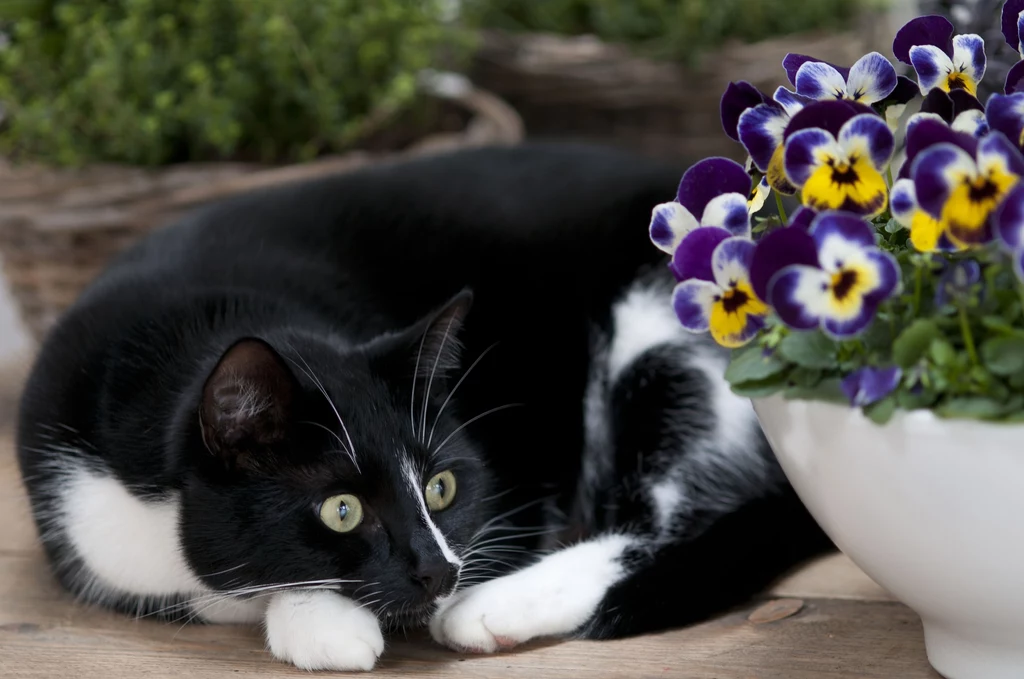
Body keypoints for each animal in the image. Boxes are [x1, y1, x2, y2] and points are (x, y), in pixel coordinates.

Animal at [16, 143, 831, 667]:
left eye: (442, 488)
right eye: (341, 508)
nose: (439, 572)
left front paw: (324, 624)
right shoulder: (90, 534)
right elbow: (220, 589)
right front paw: (323, 618)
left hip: (670, 326)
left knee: (661, 516)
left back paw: (497, 606)